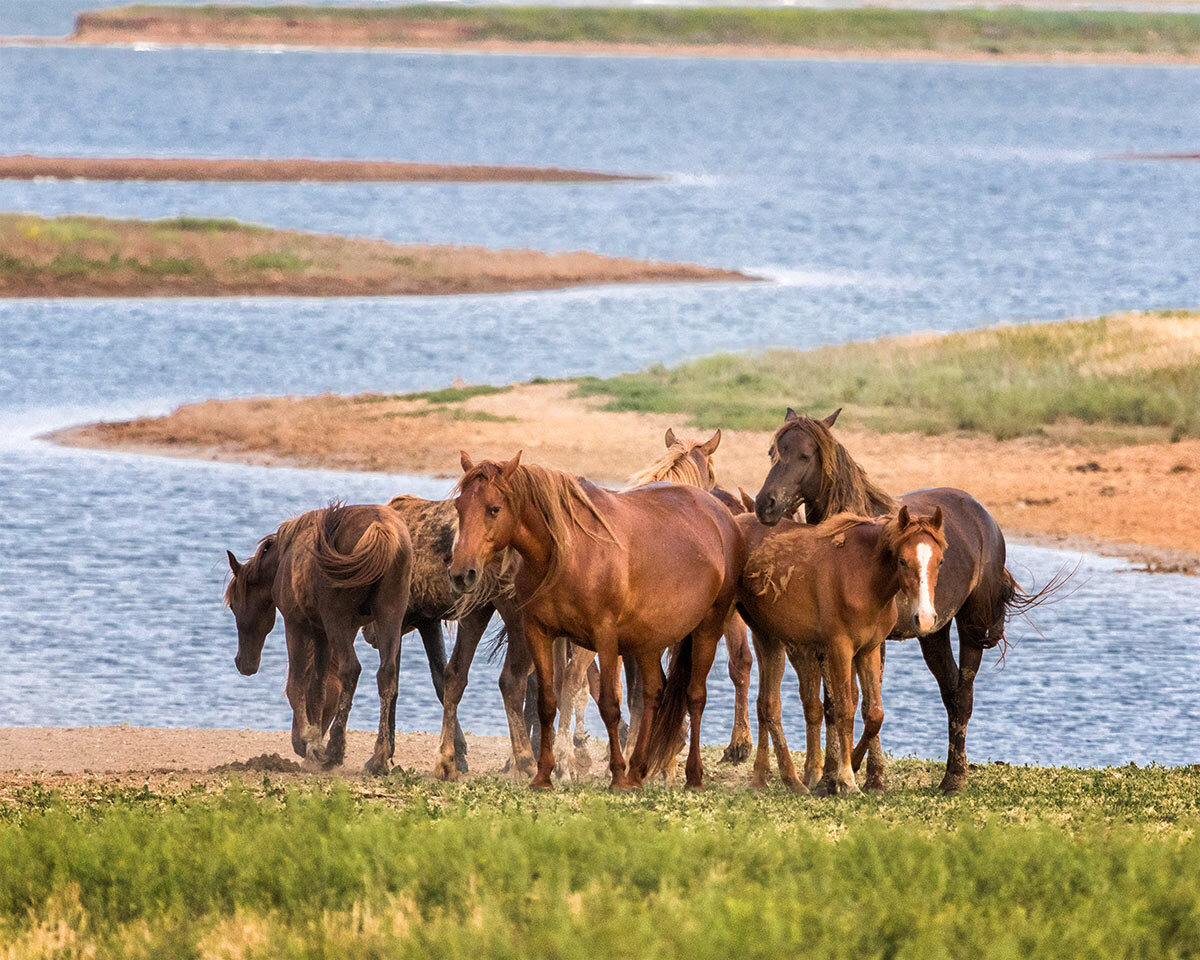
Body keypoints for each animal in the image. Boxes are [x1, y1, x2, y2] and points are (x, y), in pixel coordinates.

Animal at [225, 501, 412, 772]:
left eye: (234, 605)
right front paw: (312, 741)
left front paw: (308, 743)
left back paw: (335, 750)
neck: (285, 558)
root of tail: (381, 529)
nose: (243, 663)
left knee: (351, 669)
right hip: (389, 618)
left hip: (338, 622)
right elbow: (318, 688)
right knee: (386, 677)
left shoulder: (297, 625)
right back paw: (378, 757)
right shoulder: (323, 632)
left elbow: (297, 684)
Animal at [451, 453, 748, 792]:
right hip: (650, 641)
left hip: (708, 628)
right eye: (459, 506)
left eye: (494, 509)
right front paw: (544, 775)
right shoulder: (539, 632)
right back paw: (637, 771)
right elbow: (547, 703)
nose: (461, 573)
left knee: (695, 696)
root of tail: (721, 515)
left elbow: (609, 705)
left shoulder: (604, 637)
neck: (568, 552)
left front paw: (616, 775)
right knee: (652, 694)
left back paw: (691, 776)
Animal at [739, 501, 945, 796]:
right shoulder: (840, 649)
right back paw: (788, 779)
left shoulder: (869, 650)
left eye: (940, 561)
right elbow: (844, 709)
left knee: (765, 703)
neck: (863, 578)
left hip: (768, 636)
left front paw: (850, 769)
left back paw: (765, 777)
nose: (925, 619)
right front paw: (846, 779)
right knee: (769, 704)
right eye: (903, 561)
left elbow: (874, 714)